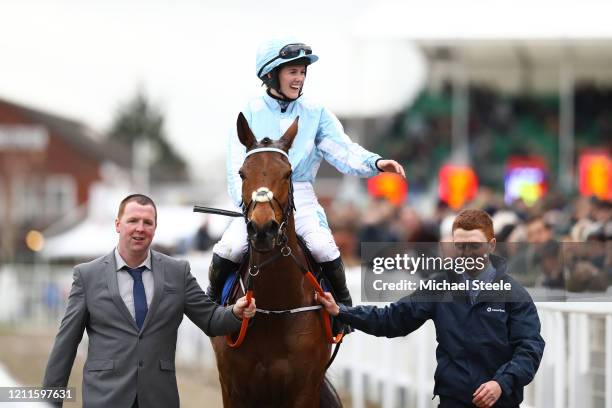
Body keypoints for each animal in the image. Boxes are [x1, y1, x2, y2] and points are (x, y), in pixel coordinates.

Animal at [213, 112, 342, 408]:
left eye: (288, 173)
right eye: (242, 173)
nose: (263, 229)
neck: (275, 309)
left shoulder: (304, 389)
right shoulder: (233, 389)